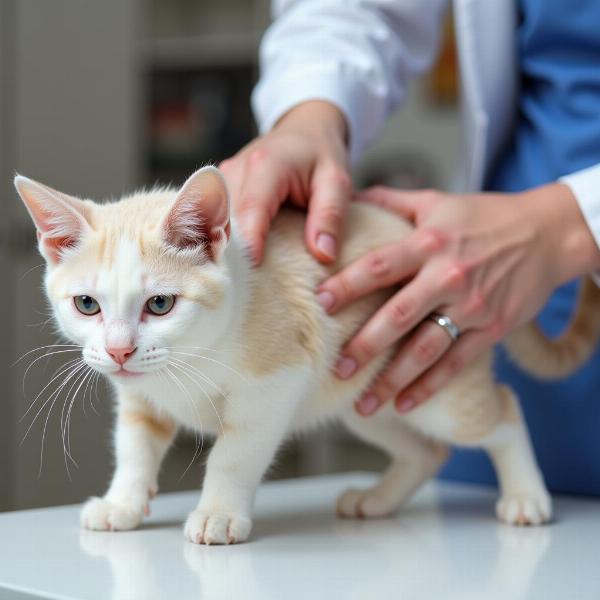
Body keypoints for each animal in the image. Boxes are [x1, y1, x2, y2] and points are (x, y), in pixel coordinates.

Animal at [14, 168, 600, 544]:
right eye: (87, 304)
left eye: (160, 304)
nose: (119, 349)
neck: (195, 358)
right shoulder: (138, 396)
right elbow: (134, 446)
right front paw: (123, 504)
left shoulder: (276, 381)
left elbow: (233, 454)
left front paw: (218, 514)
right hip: (369, 395)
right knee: (427, 449)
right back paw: (378, 500)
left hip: (433, 386)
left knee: (500, 411)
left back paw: (526, 497)